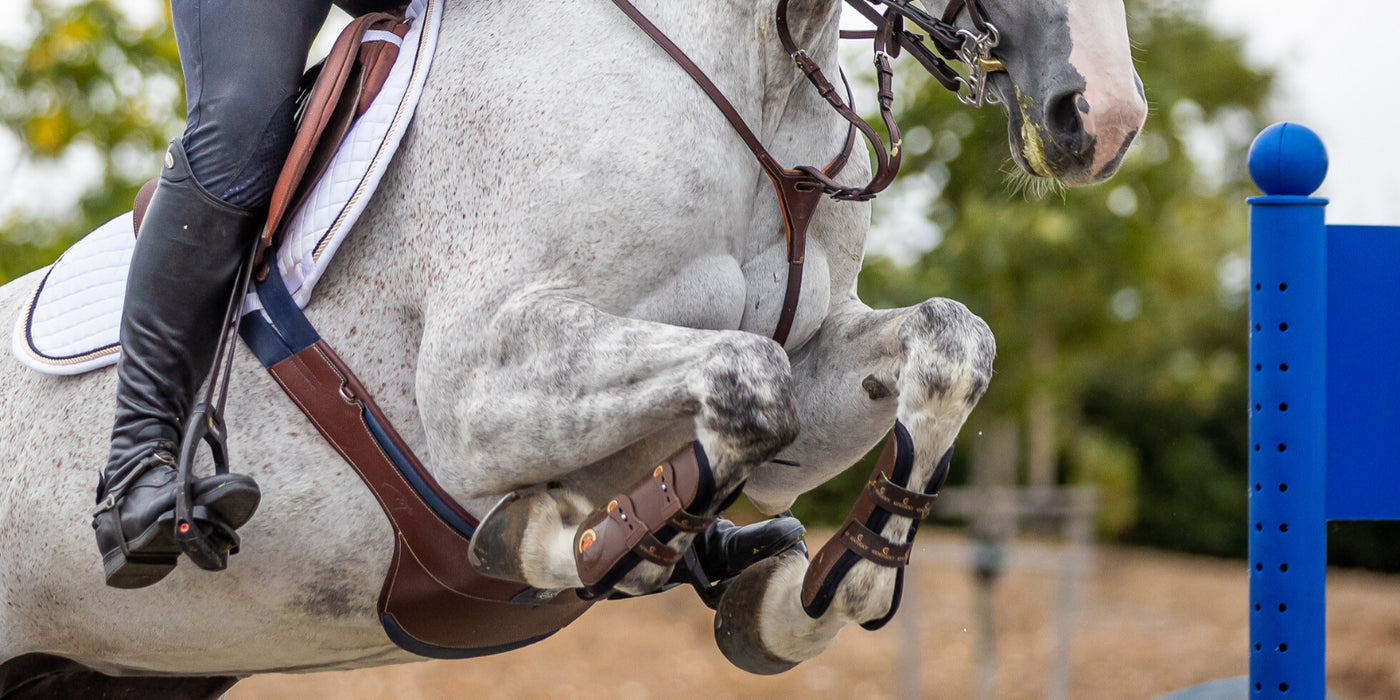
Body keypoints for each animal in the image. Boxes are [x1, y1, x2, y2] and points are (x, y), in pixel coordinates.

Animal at [0, 0, 1145, 693]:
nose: (1102, 116)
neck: (750, 74)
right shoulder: (477, 387)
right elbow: (747, 380)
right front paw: (561, 543)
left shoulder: (820, 378)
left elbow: (949, 345)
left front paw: (813, 593)